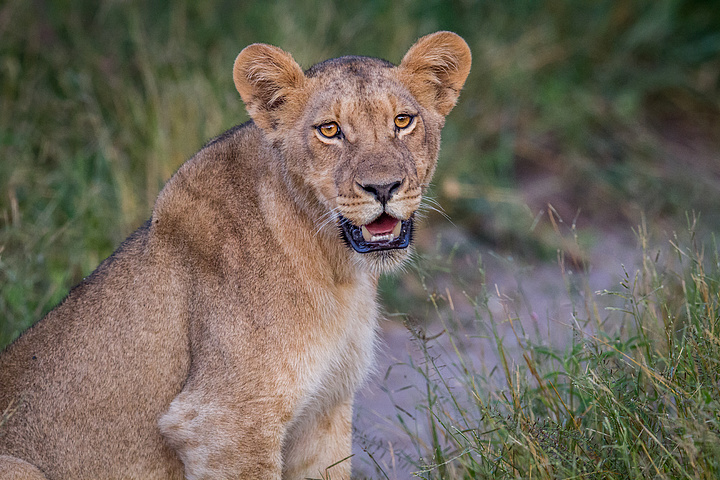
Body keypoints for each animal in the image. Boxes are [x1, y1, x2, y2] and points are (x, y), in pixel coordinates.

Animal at [0, 31, 472, 478]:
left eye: (402, 121)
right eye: (330, 130)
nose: (383, 187)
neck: (336, 267)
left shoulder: (325, 410)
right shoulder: (222, 421)